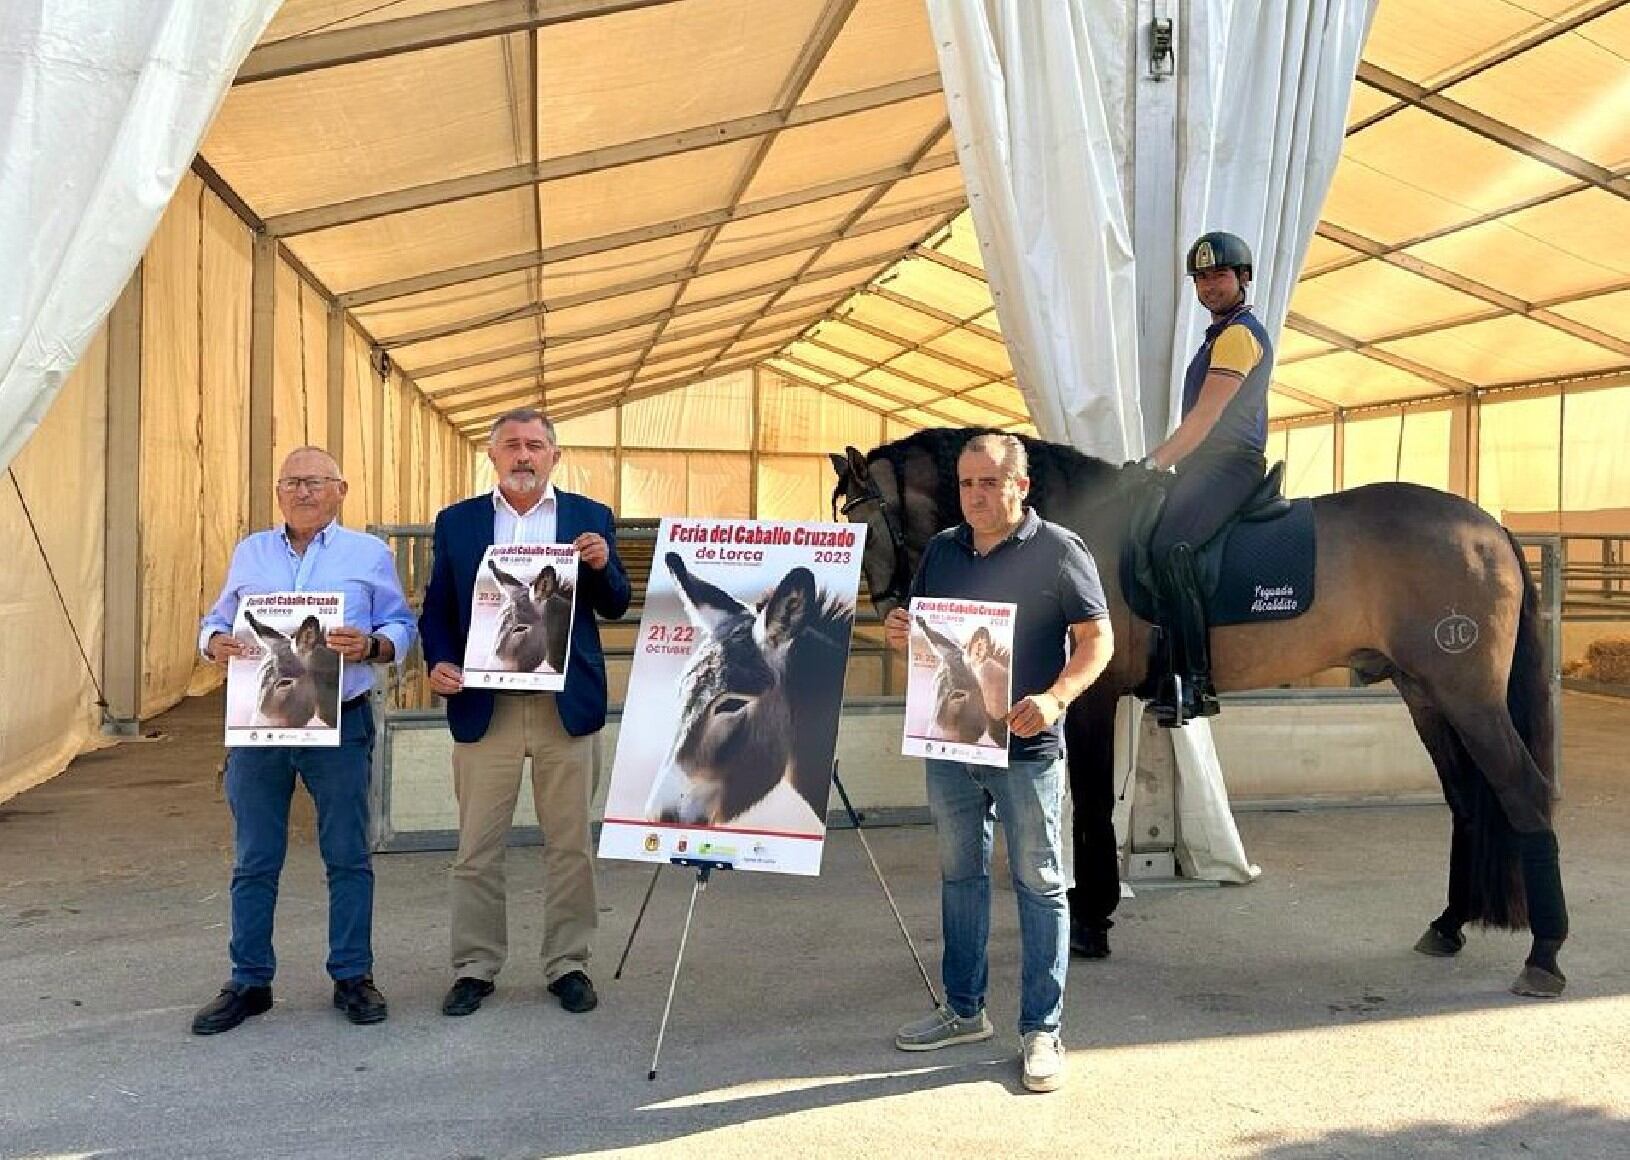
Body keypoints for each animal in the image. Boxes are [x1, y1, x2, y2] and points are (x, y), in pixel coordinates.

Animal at [834, 426, 1571, 997]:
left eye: (862, 526)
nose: (893, 620)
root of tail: (1489, 529)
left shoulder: (1093, 697)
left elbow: (1092, 804)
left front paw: (1092, 922)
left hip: (1467, 695)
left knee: (1525, 792)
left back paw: (1545, 955)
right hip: (1426, 693)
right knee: (1469, 800)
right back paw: (1448, 926)